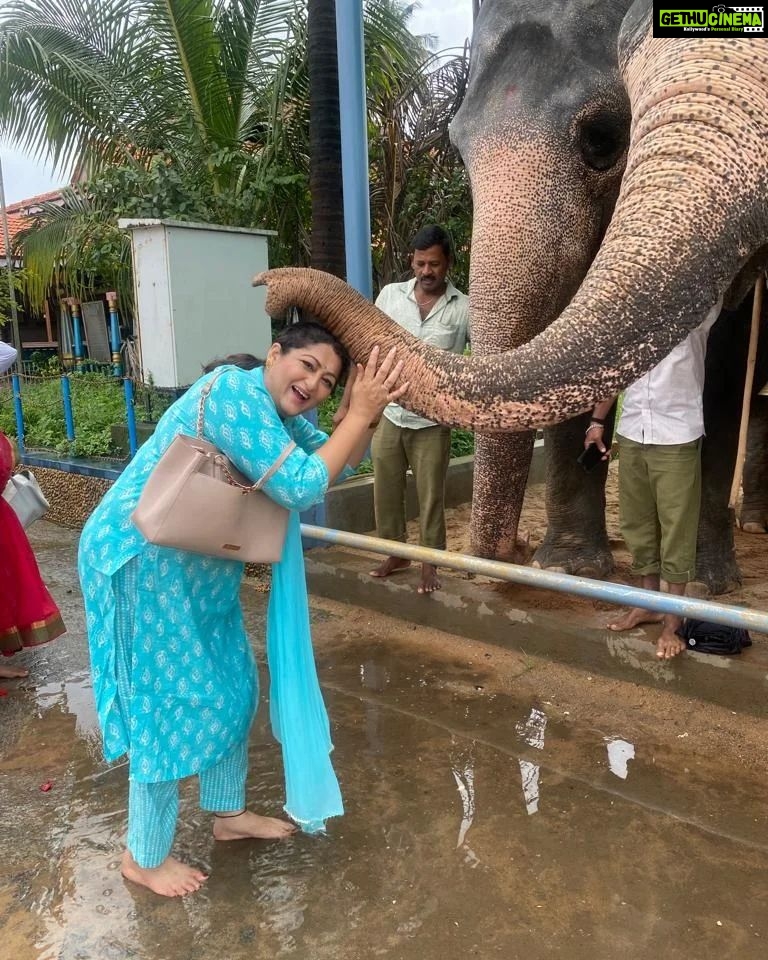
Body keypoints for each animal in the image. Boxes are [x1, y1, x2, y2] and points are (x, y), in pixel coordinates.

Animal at [256, 0, 768, 592]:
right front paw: (567, 567)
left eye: (603, 137)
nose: (268, 290)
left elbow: (726, 361)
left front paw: (707, 585)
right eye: (456, 146)